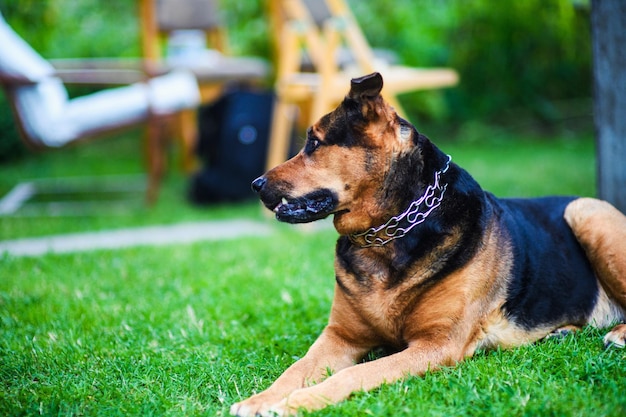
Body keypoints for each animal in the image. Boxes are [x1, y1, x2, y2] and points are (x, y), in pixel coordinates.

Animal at [229, 73, 624, 414]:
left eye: (314, 142)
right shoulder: (340, 336)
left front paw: (297, 403)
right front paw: (259, 400)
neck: (387, 232)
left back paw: (617, 335)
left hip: (587, 212)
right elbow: (296, 369)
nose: (256, 184)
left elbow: (353, 373)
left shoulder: (436, 344)